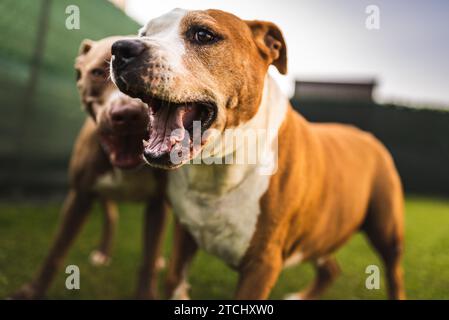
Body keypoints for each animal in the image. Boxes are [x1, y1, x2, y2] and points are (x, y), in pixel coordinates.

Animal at [12, 37, 170, 300]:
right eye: (97, 72)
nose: (129, 114)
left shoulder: (158, 204)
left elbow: (148, 259)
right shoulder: (80, 196)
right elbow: (56, 251)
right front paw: (31, 291)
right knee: (112, 215)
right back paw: (103, 253)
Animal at [110, 10, 404, 300]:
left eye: (203, 35)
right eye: (144, 33)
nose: (121, 48)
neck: (218, 167)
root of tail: (366, 135)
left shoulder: (262, 264)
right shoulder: (184, 235)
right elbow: (174, 281)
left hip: (386, 230)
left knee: (394, 272)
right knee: (330, 267)